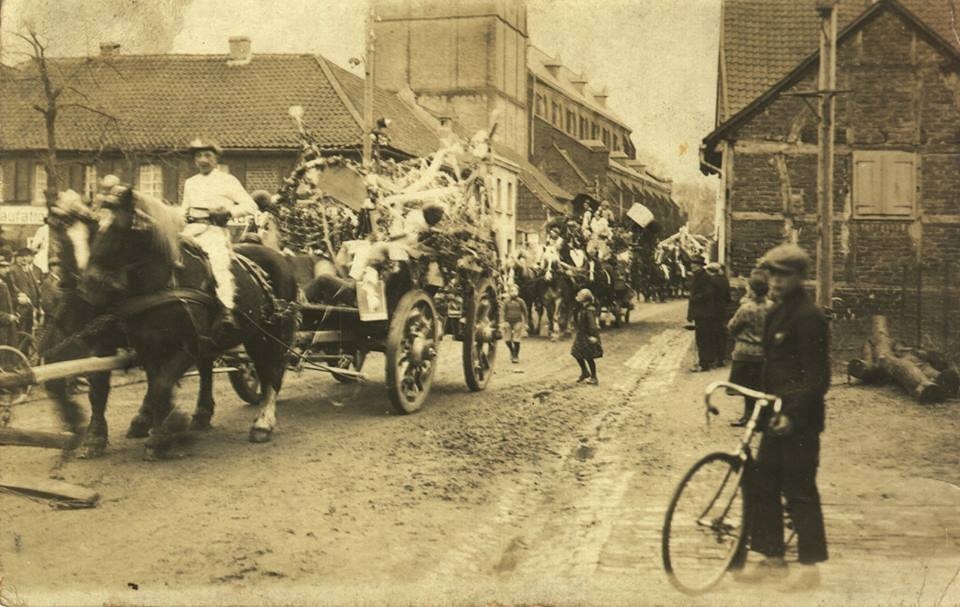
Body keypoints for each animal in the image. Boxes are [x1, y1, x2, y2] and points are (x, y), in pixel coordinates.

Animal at [45, 188, 298, 458]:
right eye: (53, 227)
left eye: (119, 229)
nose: (87, 285)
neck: (162, 281)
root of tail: (279, 257)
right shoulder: (130, 344)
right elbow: (105, 389)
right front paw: (98, 436)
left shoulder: (185, 345)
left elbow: (161, 386)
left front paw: (164, 432)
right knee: (212, 369)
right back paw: (201, 414)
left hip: (269, 334)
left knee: (271, 372)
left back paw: (262, 423)